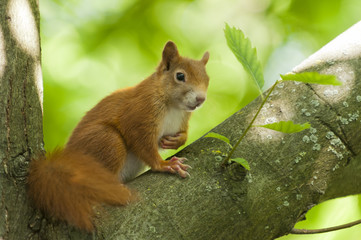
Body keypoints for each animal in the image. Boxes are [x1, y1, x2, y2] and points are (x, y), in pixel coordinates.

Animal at [28, 41, 210, 232]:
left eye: (208, 79)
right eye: (180, 76)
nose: (200, 99)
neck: (174, 106)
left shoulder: (181, 121)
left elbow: (180, 135)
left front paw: (177, 141)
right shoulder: (139, 115)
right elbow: (142, 143)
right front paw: (164, 165)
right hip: (107, 141)